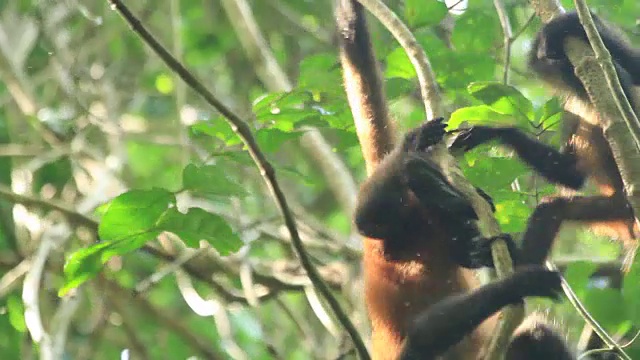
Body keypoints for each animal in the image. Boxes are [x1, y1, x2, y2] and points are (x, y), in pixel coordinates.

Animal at [450, 9, 640, 266]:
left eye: (566, 61)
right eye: (558, 64)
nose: (575, 72)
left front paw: (574, 22)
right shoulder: (570, 109)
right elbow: (570, 174)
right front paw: (494, 132)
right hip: (614, 209)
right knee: (553, 209)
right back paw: (520, 263)